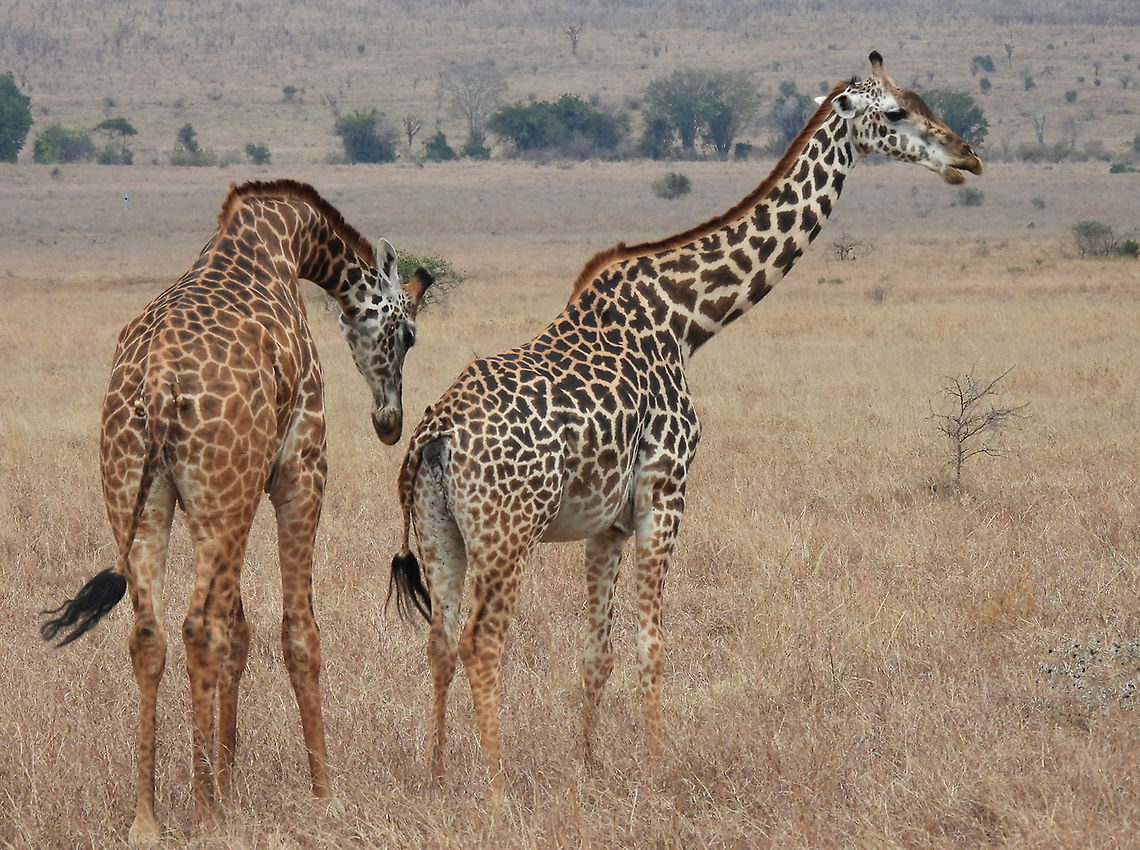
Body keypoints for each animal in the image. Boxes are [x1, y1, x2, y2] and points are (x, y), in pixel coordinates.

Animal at [41, 179, 431, 843]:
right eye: (405, 335)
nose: (390, 421)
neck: (289, 243)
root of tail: (157, 387)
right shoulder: (299, 468)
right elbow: (298, 631)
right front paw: (324, 798)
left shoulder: (235, 493)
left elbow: (242, 632)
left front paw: (228, 786)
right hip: (223, 494)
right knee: (200, 628)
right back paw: (202, 817)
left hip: (144, 498)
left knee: (153, 632)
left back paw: (148, 820)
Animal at [389, 52, 982, 789]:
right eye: (897, 112)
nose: (967, 158)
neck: (686, 321)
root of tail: (433, 436)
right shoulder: (666, 492)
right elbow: (653, 642)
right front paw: (654, 767)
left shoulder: (608, 521)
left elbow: (598, 651)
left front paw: (591, 765)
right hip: (508, 531)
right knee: (482, 640)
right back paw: (497, 786)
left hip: (441, 530)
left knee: (440, 642)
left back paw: (439, 775)